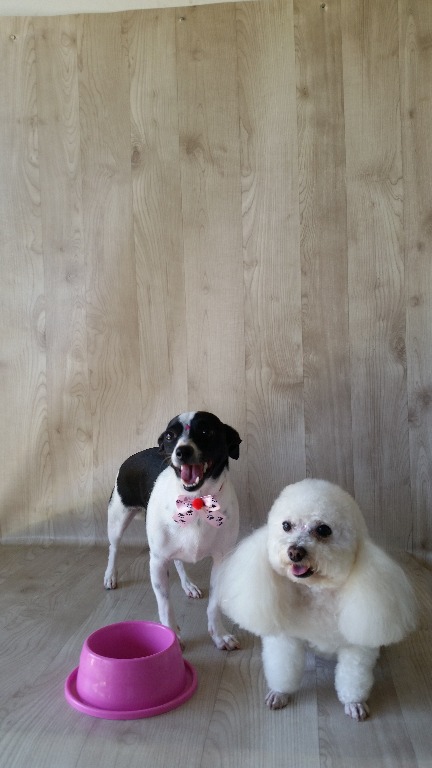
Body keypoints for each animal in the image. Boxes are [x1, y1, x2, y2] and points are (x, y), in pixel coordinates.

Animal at [104, 411, 242, 650]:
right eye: (170, 436)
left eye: (206, 431)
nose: (182, 451)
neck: (196, 501)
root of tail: (133, 456)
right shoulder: (158, 562)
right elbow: (165, 606)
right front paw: (172, 638)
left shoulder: (222, 560)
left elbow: (214, 606)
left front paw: (219, 635)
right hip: (117, 520)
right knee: (114, 548)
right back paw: (110, 576)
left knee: (178, 561)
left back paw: (188, 585)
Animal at [217, 479, 417, 720]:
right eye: (286, 525)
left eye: (323, 529)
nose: (294, 552)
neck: (316, 592)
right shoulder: (285, 639)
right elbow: (282, 668)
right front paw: (280, 693)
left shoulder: (357, 648)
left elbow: (353, 678)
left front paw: (354, 703)